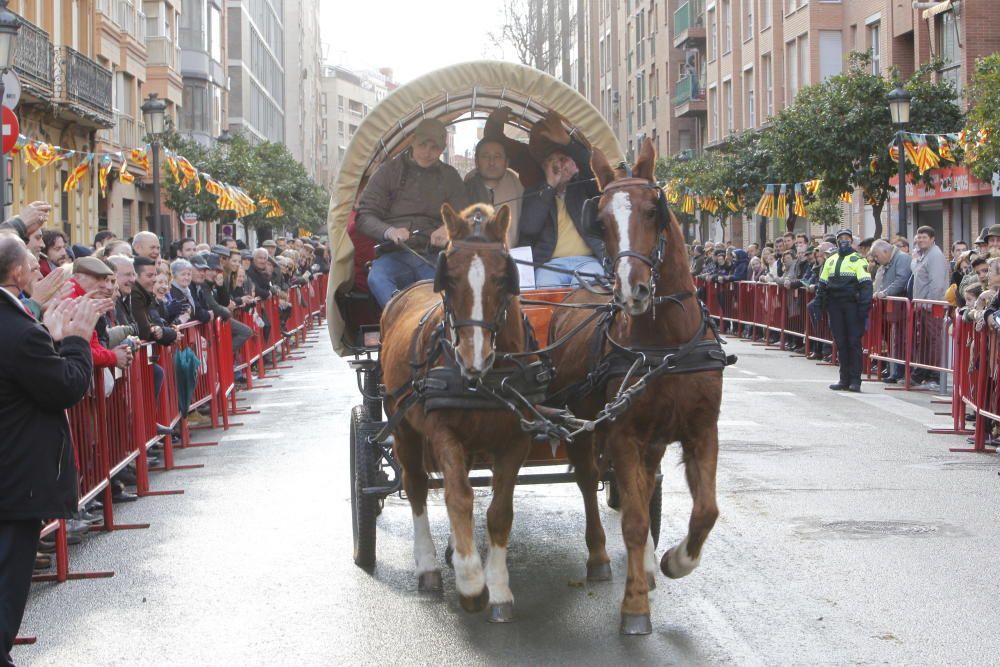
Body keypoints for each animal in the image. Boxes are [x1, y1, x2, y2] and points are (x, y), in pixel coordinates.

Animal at [376, 202, 532, 620]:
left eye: (503, 278)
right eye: (449, 281)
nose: (472, 359)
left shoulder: (515, 439)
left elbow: (499, 509)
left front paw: (499, 587)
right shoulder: (442, 433)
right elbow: (458, 496)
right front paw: (472, 581)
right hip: (403, 428)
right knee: (416, 486)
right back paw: (429, 565)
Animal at [548, 138, 728, 636]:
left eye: (654, 210)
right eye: (602, 219)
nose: (633, 291)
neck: (666, 345)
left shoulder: (702, 430)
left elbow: (704, 511)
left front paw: (674, 561)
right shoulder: (624, 434)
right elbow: (630, 519)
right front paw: (633, 606)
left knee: (646, 489)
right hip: (584, 427)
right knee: (590, 483)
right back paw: (599, 555)